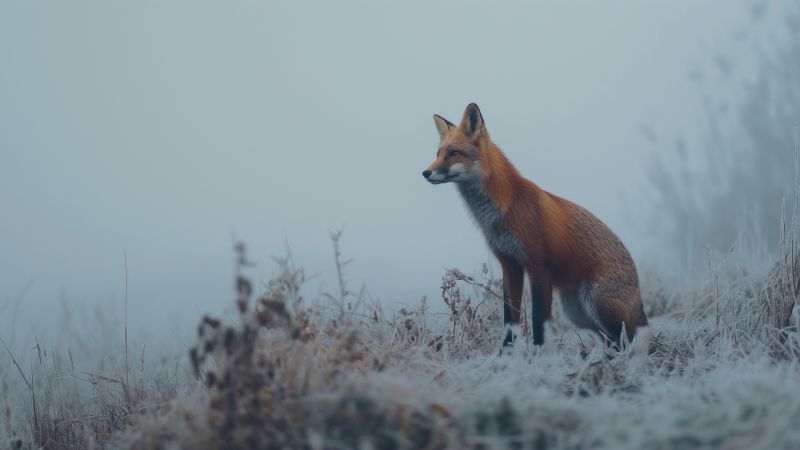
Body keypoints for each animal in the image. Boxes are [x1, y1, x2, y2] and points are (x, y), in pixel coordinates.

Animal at [423, 103, 648, 347]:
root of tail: (639, 289)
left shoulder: (539, 266)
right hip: (578, 313)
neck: (505, 207)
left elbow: (539, 323)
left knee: (627, 342)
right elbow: (509, 321)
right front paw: (505, 355)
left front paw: (539, 354)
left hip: (599, 307)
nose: (425, 172)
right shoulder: (510, 265)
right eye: (438, 154)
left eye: (453, 153)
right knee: (612, 343)